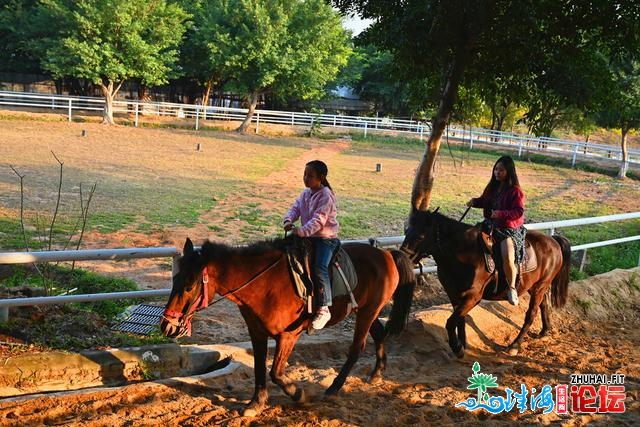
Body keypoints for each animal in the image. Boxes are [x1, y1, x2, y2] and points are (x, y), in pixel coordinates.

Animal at [161, 236, 416, 416]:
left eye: (189, 285)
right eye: (174, 280)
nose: (167, 326)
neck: (265, 284)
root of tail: (386, 254)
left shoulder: (288, 336)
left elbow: (275, 372)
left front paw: (299, 395)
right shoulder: (257, 333)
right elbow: (259, 368)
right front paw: (256, 403)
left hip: (368, 312)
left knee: (357, 348)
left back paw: (334, 389)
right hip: (365, 311)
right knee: (379, 334)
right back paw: (377, 373)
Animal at [400, 209, 568, 360]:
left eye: (421, 235)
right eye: (407, 230)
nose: (403, 256)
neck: (463, 254)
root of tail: (553, 241)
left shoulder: (473, 297)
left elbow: (451, 322)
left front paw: (457, 348)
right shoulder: (454, 295)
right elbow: (459, 319)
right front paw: (462, 344)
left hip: (541, 285)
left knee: (531, 313)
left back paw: (514, 346)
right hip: (535, 287)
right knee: (543, 305)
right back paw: (544, 331)